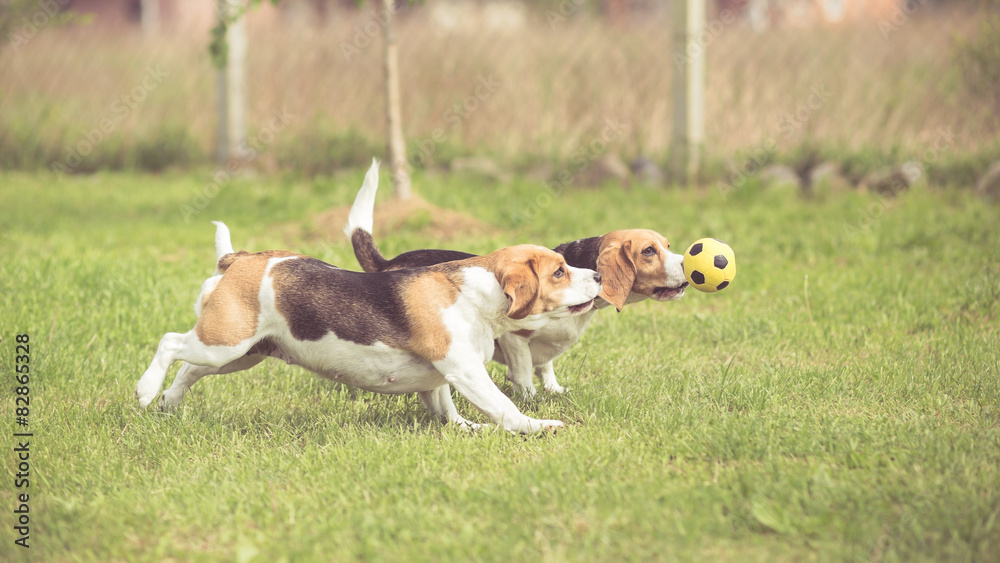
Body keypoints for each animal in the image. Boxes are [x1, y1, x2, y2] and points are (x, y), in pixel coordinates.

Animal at [133, 220, 600, 436]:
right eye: (559, 272)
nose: (597, 276)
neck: (476, 293)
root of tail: (239, 259)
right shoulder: (465, 370)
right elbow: (504, 406)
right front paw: (535, 426)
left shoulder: (441, 377)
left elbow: (447, 409)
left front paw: (465, 429)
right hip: (224, 344)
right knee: (170, 343)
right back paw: (145, 390)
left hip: (239, 352)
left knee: (188, 369)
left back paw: (168, 403)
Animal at [344, 160, 688, 396]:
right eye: (648, 251)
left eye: (668, 246)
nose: (687, 264)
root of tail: (388, 263)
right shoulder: (515, 338)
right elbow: (523, 372)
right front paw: (530, 398)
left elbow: (546, 366)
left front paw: (553, 390)